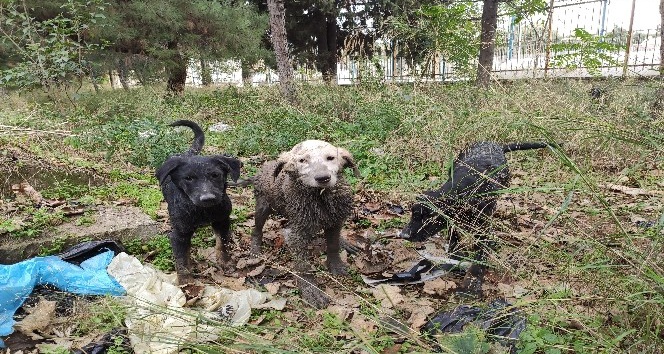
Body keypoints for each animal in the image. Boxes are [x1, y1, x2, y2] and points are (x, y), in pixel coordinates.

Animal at [156, 120, 241, 284]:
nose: (208, 198)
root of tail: (186, 154)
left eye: (215, 175)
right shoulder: (179, 235)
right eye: (188, 178)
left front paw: (225, 262)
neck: (203, 211)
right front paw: (186, 282)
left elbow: (222, 243)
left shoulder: (222, 221)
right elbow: (182, 260)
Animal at [402, 141, 552, 296]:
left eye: (429, 216)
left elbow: (479, 261)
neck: (463, 190)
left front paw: (471, 285)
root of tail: (495, 144)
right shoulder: (452, 223)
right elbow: (453, 239)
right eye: (413, 213)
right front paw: (455, 257)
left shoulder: (484, 233)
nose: (403, 235)